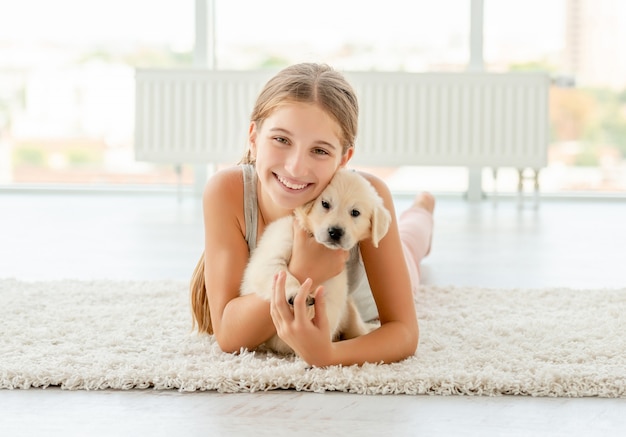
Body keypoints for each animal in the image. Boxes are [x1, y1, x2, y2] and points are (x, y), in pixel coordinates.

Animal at [240, 168, 390, 354]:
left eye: (355, 212)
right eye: (325, 204)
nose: (335, 232)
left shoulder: (334, 289)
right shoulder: (271, 255)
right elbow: (283, 274)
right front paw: (295, 293)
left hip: (351, 314)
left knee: (359, 331)